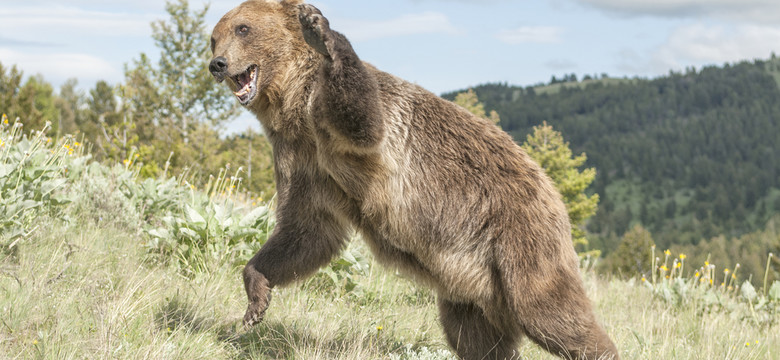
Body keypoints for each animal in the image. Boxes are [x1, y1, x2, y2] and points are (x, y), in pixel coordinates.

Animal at [209, 1, 620, 358]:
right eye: (215, 36)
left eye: (243, 28)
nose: (218, 63)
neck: (293, 105)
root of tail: (551, 188)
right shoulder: (303, 159)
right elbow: (306, 230)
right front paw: (256, 298)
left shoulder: (354, 127)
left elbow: (363, 120)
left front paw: (321, 32)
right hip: (472, 283)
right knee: (474, 336)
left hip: (519, 236)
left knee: (548, 311)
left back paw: (597, 347)